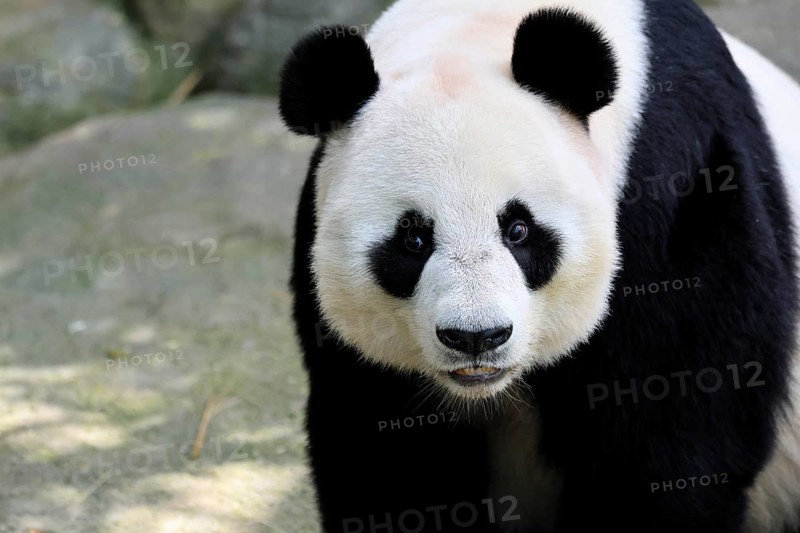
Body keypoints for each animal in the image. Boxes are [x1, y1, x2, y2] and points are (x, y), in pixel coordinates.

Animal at [278, 0, 800, 531]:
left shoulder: (682, 190)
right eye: (413, 239)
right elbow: (381, 454)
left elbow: (673, 442)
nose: (476, 338)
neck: (475, 28)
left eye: (518, 229)